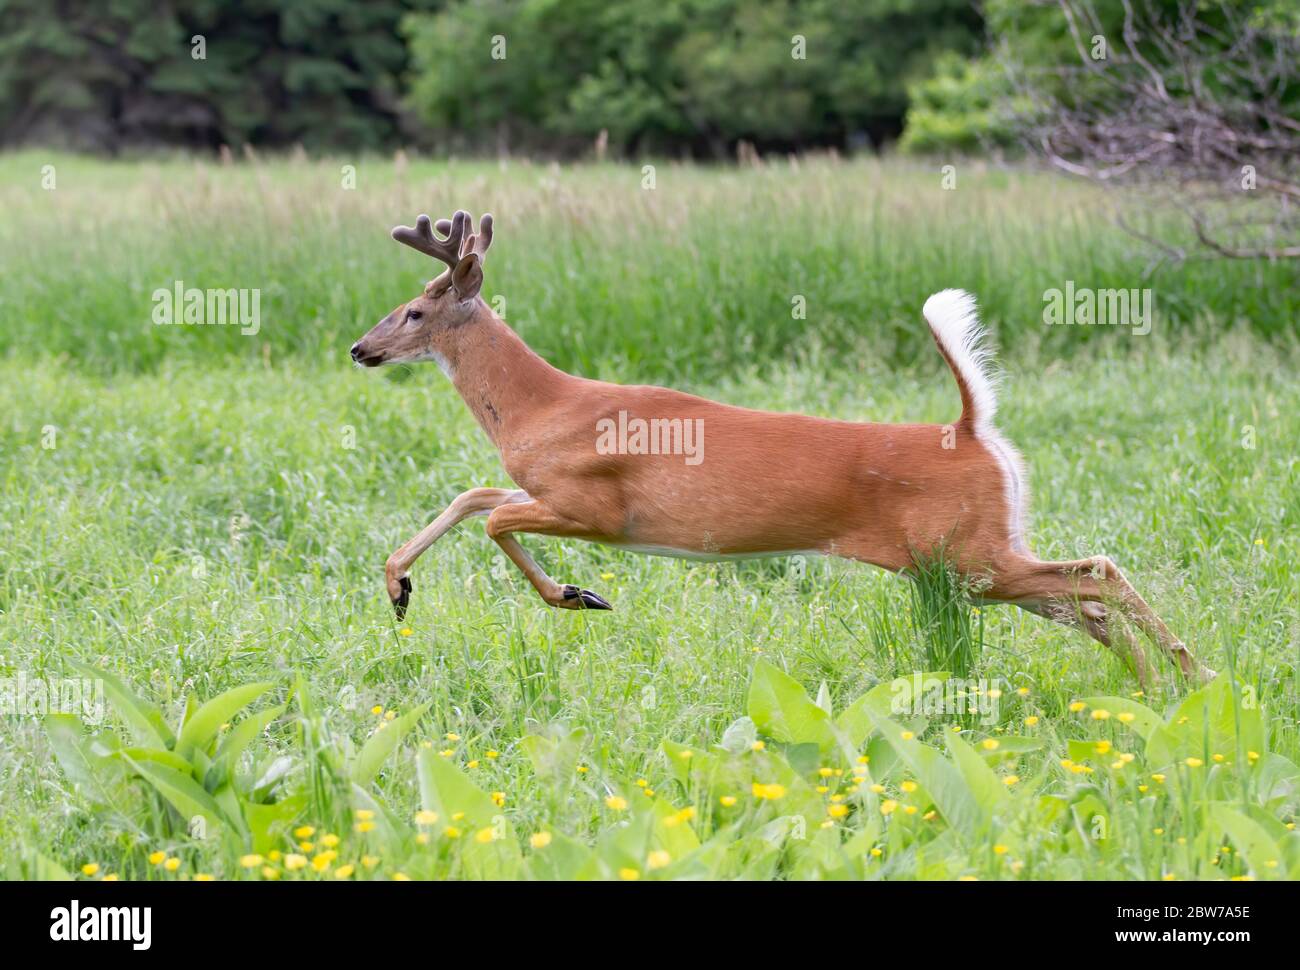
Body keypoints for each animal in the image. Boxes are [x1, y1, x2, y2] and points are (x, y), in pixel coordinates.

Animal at [351, 208, 1211, 686]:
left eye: (415, 311)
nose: (362, 348)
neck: (541, 406)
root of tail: (973, 430)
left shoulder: (596, 505)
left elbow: (495, 517)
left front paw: (577, 595)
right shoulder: (547, 490)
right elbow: (474, 496)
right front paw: (398, 587)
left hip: (968, 556)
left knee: (1096, 575)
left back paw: (1187, 669)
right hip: (978, 556)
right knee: (1086, 601)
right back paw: (1158, 689)